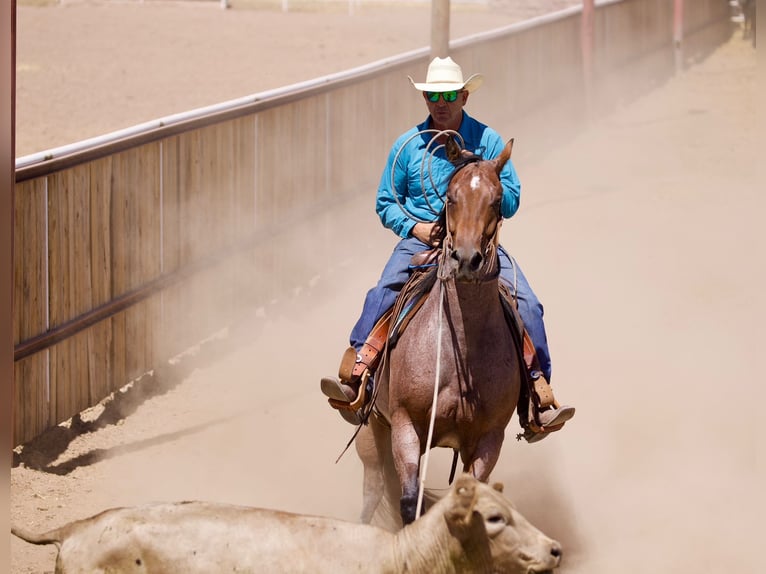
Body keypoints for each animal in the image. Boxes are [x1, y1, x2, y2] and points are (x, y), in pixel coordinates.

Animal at [355, 136, 522, 529]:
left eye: (496, 200)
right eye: (450, 197)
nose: (467, 258)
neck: (460, 349)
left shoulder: (490, 439)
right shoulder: (405, 424)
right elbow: (410, 503)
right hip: (371, 436)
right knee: (372, 493)